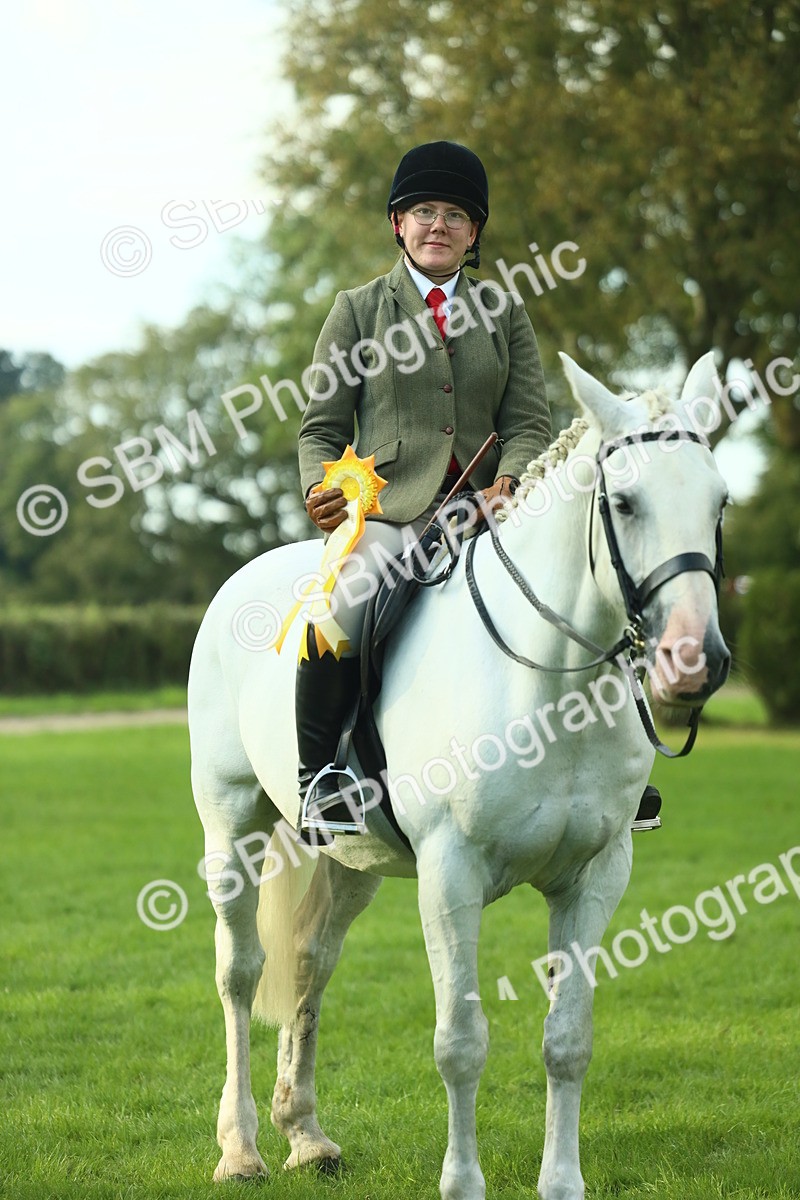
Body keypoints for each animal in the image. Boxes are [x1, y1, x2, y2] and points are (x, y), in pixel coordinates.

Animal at [188, 351, 730, 1200]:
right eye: (627, 502)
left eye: (720, 502)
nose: (694, 660)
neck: (549, 679)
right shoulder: (452, 874)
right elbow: (461, 1042)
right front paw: (463, 1183)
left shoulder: (597, 875)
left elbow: (568, 1039)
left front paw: (561, 1183)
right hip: (232, 827)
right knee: (241, 973)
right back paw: (240, 1149)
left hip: (352, 861)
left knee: (310, 963)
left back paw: (305, 1134)